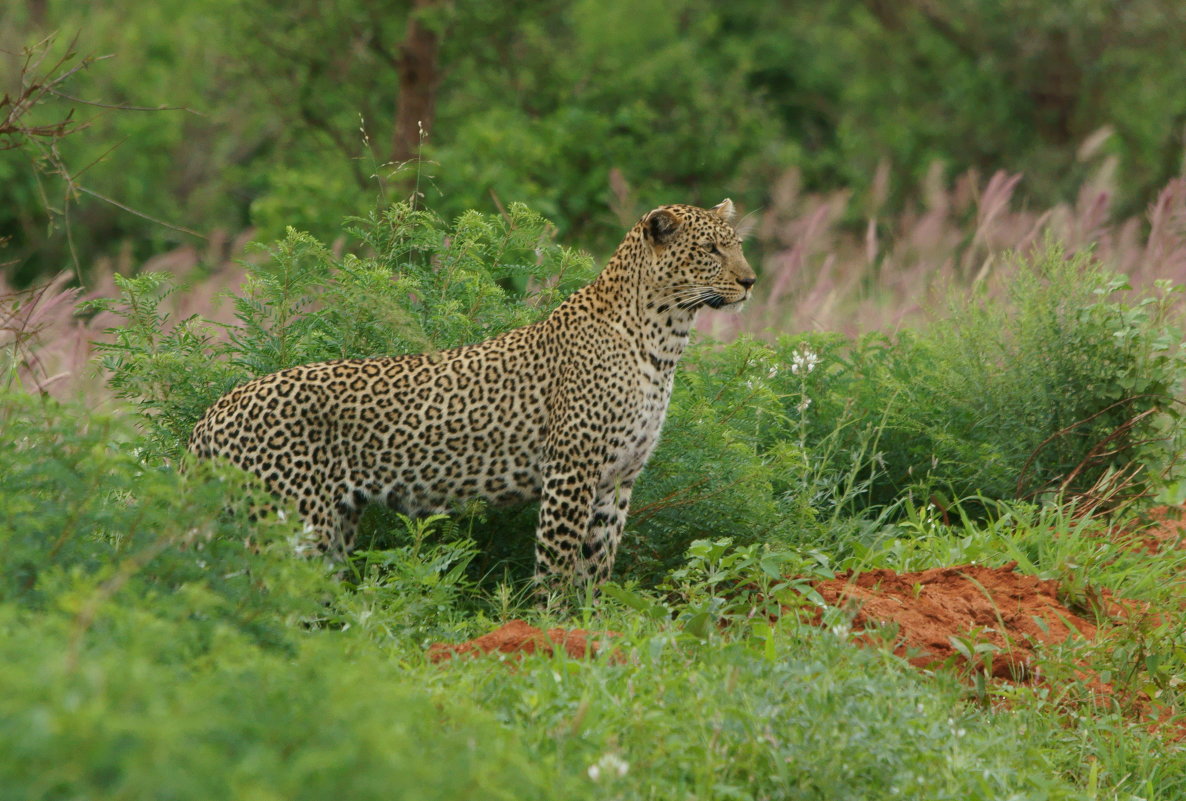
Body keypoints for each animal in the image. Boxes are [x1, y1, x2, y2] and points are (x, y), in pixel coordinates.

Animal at [188, 200, 754, 586]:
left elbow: (597, 568)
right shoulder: (571, 471)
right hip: (290, 524)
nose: (750, 281)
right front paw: (549, 629)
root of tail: (214, 411)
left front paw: (590, 627)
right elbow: (556, 566)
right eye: (711, 249)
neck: (664, 339)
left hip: (334, 524)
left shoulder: (618, 480)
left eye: (739, 244)